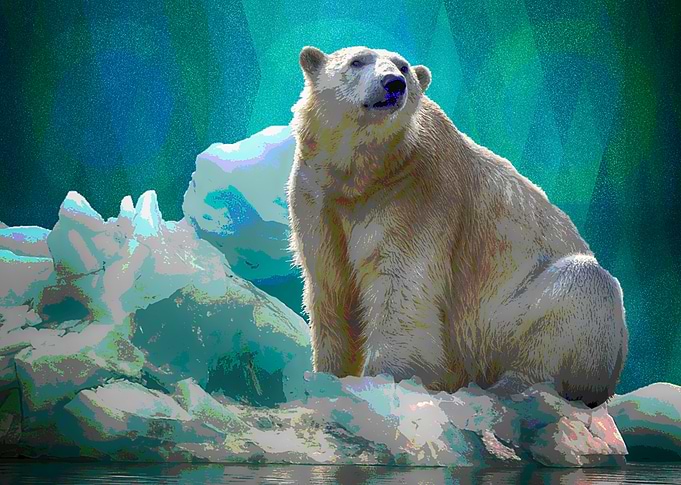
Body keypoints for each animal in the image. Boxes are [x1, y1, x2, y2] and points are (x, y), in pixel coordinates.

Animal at [286, 45, 628, 408]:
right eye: (357, 61)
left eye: (403, 68)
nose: (393, 84)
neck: (364, 174)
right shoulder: (316, 197)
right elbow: (331, 286)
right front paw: (329, 376)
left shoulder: (416, 193)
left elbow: (401, 286)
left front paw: (384, 379)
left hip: (509, 318)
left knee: (582, 288)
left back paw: (513, 386)